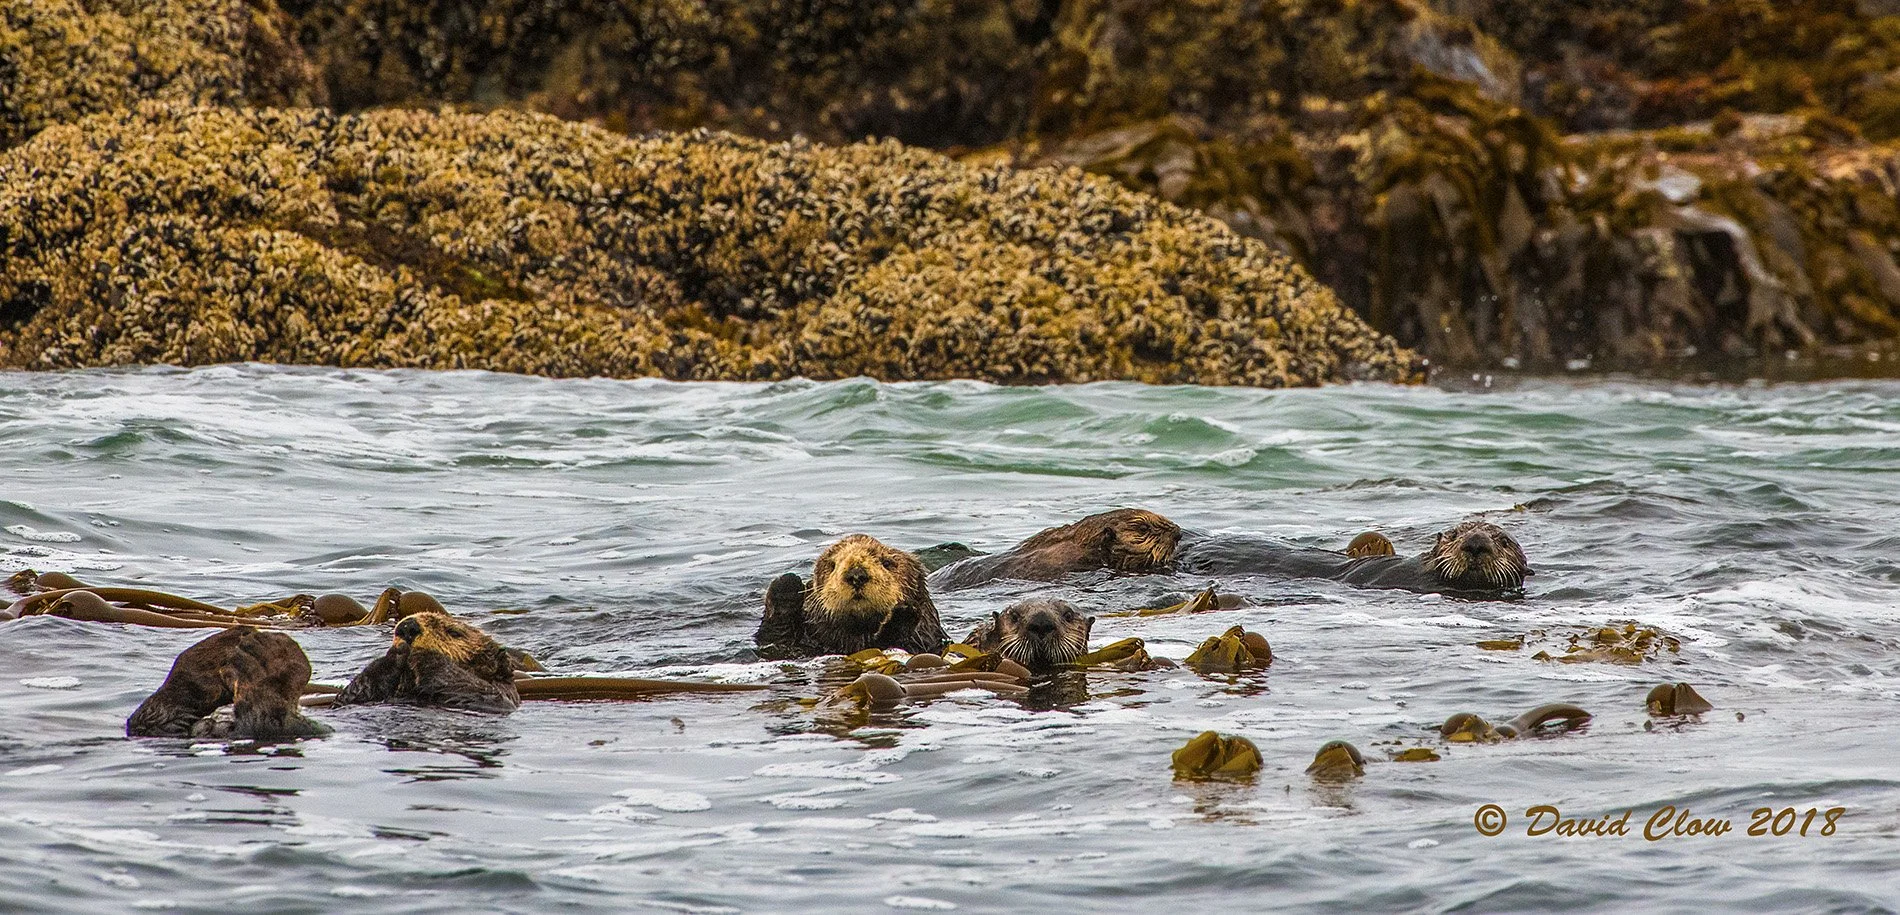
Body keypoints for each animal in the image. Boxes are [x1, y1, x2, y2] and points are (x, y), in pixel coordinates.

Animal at [334, 611, 521, 713]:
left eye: (454, 632)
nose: (407, 627)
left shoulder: (495, 700)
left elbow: (481, 691)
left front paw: (424, 654)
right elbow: (345, 699)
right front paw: (394, 654)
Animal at [756, 534, 946, 659]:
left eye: (887, 563)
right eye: (832, 565)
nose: (856, 575)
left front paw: (903, 614)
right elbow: (775, 643)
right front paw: (787, 584)